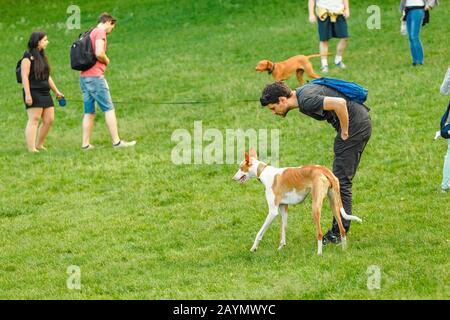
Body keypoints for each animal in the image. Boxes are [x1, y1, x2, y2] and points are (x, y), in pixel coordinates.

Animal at [232, 148, 362, 255]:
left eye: (240, 167)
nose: (233, 178)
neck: (264, 171)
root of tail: (323, 170)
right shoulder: (284, 209)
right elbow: (283, 232)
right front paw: (280, 248)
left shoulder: (273, 212)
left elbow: (259, 233)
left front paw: (253, 248)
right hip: (334, 205)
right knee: (342, 229)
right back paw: (344, 250)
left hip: (315, 207)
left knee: (319, 233)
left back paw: (319, 254)